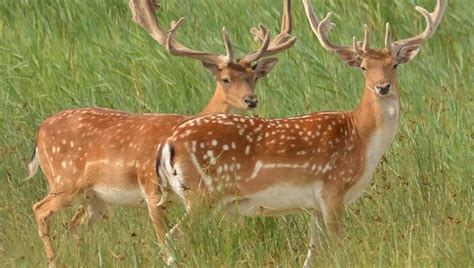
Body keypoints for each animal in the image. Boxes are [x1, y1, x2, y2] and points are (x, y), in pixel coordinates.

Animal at [26, 0, 296, 264]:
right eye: (225, 79)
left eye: (255, 77)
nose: (251, 100)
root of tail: (40, 132)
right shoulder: (150, 187)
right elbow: (164, 240)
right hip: (64, 181)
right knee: (40, 209)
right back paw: (51, 259)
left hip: (95, 197)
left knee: (73, 227)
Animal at [157, 0, 446, 266]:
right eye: (363, 67)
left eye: (395, 64)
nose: (382, 87)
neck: (361, 139)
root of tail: (168, 143)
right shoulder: (333, 189)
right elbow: (339, 245)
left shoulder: (314, 204)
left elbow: (312, 250)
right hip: (202, 194)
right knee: (173, 236)